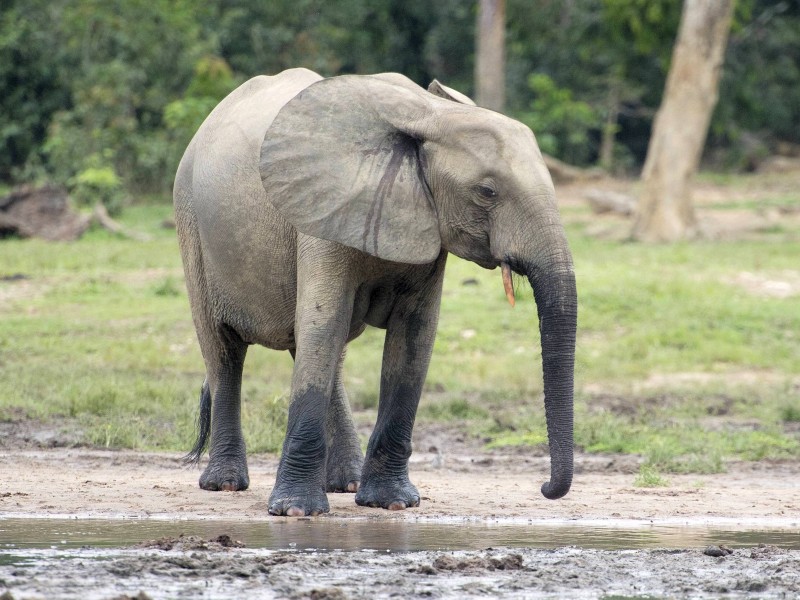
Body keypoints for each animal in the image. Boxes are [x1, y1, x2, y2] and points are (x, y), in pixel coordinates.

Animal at [173, 65, 576, 516]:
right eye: (487, 192)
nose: (544, 488)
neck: (431, 115)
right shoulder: (324, 210)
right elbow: (324, 321)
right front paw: (296, 511)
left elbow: (414, 337)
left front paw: (391, 504)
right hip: (190, 221)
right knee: (224, 349)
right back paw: (224, 484)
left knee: (318, 351)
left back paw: (345, 483)